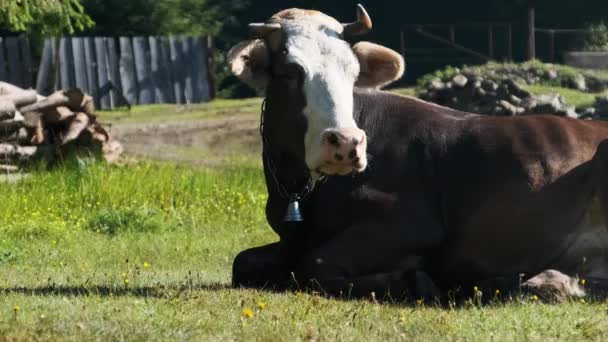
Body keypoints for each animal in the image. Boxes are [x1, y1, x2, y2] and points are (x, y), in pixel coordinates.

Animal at [226, 4, 608, 300]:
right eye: (291, 72)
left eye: (353, 73)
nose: (347, 142)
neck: (297, 191)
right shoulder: (289, 238)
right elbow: (242, 262)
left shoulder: (413, 224)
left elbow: (314, 265)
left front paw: (412, 281)